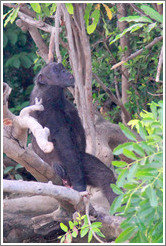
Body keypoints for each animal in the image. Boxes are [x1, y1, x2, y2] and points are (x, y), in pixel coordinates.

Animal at [29, 62, 116, 205]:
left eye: (61, 66)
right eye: (56, 69)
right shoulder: (51, 113)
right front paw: (79, 187)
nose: (65, 70)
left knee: (105, 178)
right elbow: (65, 145)